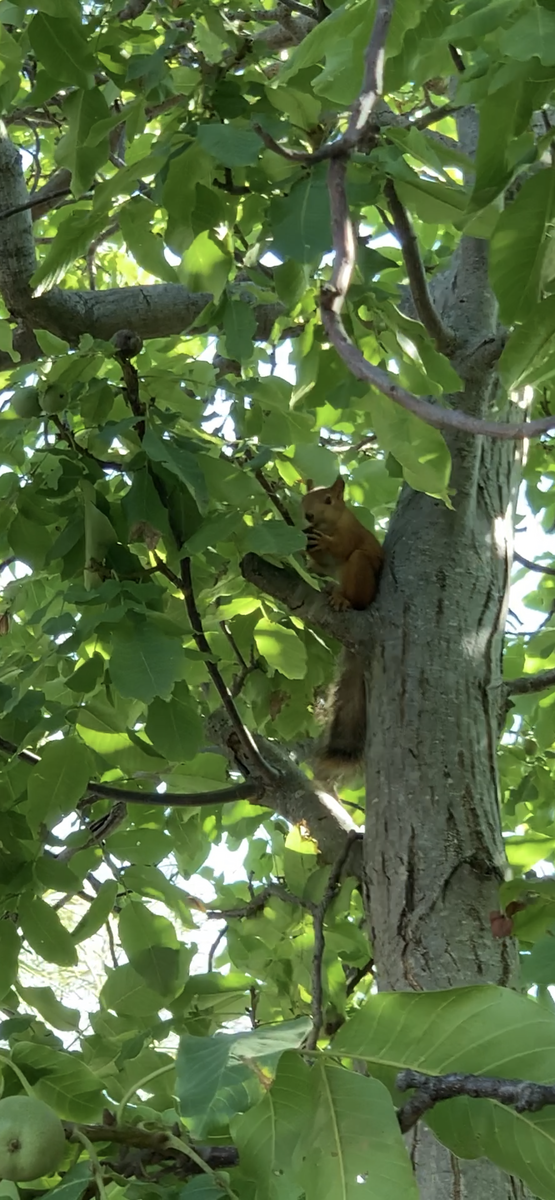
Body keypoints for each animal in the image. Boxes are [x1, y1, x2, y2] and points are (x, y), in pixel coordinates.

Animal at [301, 477, 384, 777]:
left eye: (328, 500)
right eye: (303, 499)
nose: (308, 516)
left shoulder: (351, 535)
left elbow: (340, 549)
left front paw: (324, 543)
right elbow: (318, 562)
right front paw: (308, 557)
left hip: (360, 571)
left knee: (354, 580)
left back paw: (341, 598)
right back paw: (329, 589)